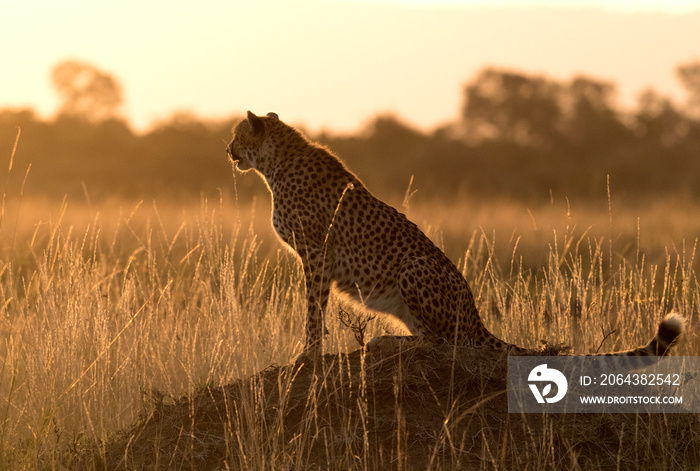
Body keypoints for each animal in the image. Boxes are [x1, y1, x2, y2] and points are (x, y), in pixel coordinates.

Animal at [227, 111, 688, 362]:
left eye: (236, 134)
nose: (227, 151)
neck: (275, 163)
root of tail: (476, 314)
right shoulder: (314, 254)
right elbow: (314, 306)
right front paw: (310, 351)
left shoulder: (316, 252)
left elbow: (312, 307)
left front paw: (308, 354)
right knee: (438, 341)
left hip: (414, 266)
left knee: (441, 343)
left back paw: (387, 342)